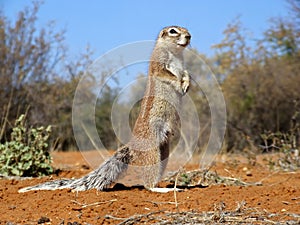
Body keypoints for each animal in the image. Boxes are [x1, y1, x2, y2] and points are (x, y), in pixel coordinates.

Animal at [18, 25, 191, 192]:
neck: (175, 53)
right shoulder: (159, 63)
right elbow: (167, 74)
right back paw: (161, 189)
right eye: (173, 31)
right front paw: (179, 84)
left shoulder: (182, 66)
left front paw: (187, 83)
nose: (189, 36)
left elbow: (185, 73)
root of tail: (132, 147)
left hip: (164, 150)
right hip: (152, 151)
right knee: (148, 183)